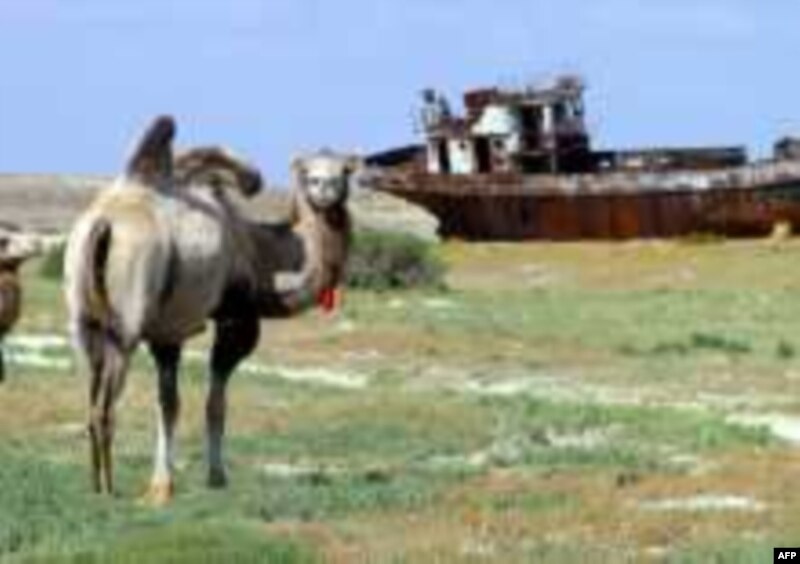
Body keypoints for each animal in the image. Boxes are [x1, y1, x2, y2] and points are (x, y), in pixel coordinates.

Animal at [65, 116, 356, 502]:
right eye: (309, 172)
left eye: (345, 170)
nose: (325, 187)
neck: (259, 254)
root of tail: (102, 223)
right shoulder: (236, 316)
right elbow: (215, 405)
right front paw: (217, 477)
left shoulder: (167, 331)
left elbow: (168, 404)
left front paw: (161, 485)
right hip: (125, 321)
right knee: (105, 406)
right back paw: (109, 490)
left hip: (83, 318)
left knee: (91, 391)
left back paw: (95, 484)